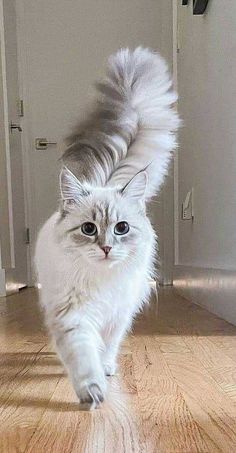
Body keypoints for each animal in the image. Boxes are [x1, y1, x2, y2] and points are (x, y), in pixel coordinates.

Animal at [34, 47, 179, 408]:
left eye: (122, 228)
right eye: (88, 229)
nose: (106, 248)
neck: (100, 281)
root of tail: (103, 182)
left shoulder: (118, 315)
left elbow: (107, 347)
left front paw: (106, 370)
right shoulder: (73, 316)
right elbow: (84, 358)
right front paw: (92, 392)